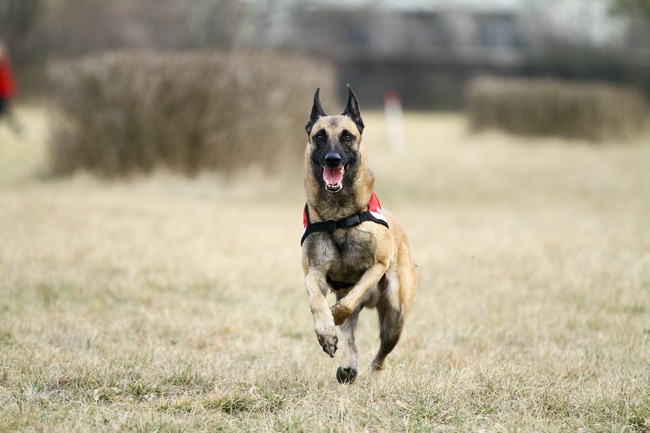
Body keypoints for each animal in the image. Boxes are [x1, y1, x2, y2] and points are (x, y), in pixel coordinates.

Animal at [301, 85, 416, 384]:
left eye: (347, 136)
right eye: (319, 136)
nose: (332, 159)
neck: (338, 217)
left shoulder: (376, 267)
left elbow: (349, 300)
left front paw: (335, 316)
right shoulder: (314, 273)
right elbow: (316, 301)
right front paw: (326, 332)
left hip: (395, 317)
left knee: (380, 357)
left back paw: (374, 375)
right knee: (352, 343)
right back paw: (348, 368)